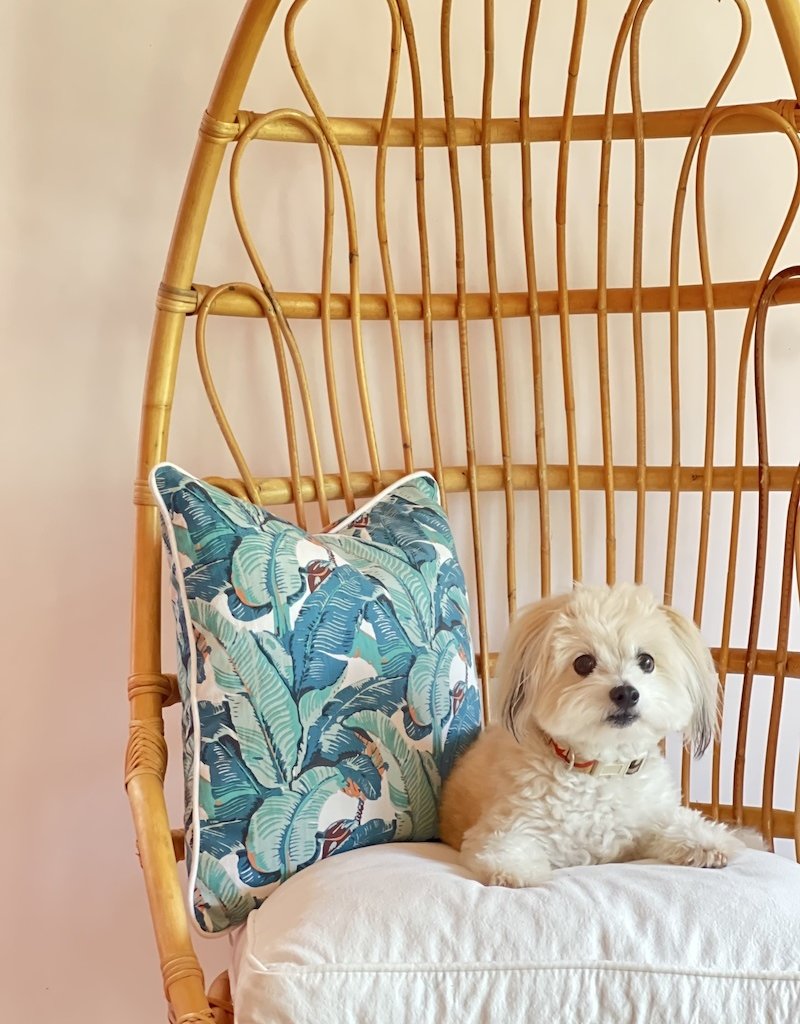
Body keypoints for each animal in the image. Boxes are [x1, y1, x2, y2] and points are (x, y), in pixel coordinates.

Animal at [436, 585, 749, 888]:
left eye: (647, 661)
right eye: (584, 663)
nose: (626, 692)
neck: (603, 768)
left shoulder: (649, 819)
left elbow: (672, 822)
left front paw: (705, 841)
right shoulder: (507, 824)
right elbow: (502, 844)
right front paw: (513, 870)